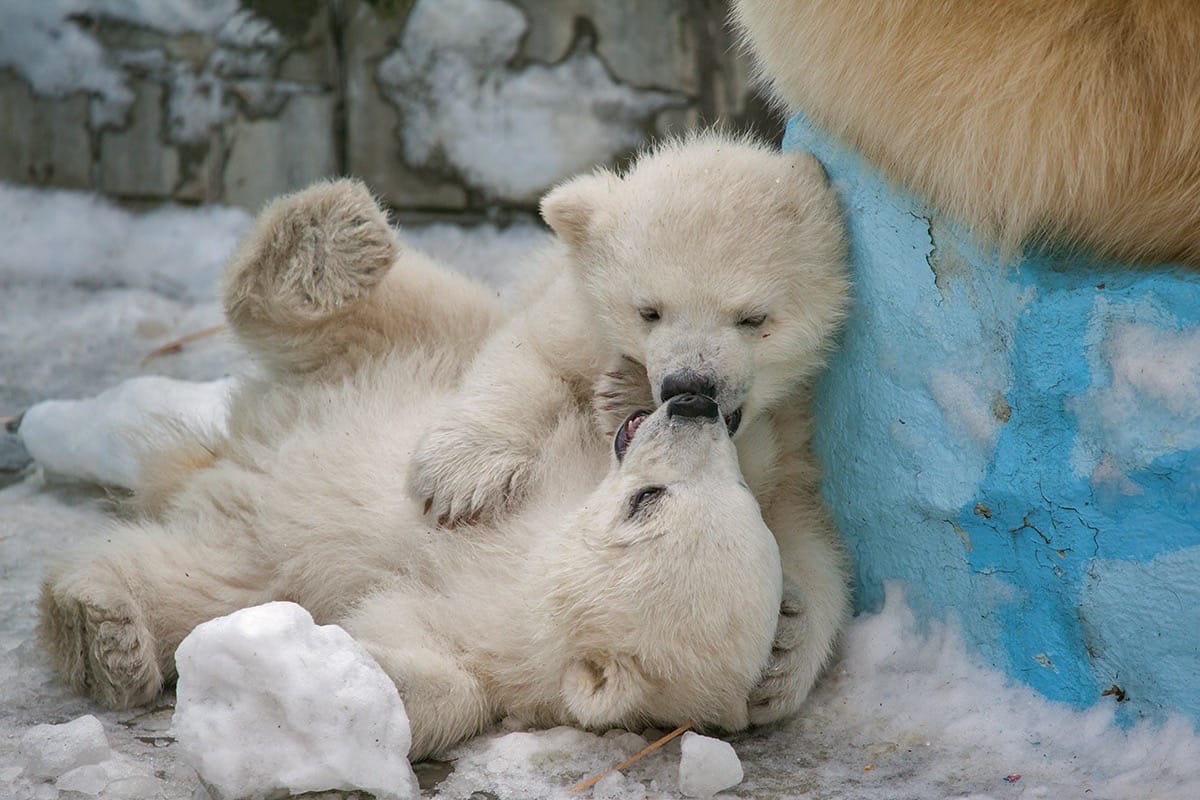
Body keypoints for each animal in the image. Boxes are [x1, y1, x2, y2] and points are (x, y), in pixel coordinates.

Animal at [408, 133, 849, 724]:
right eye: (648, 311)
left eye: (753, 318)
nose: (690, 386)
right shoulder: (575, 316)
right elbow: (530, 354)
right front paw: (458, 475)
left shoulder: (796, 428)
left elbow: (801, 524)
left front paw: (787, 649)